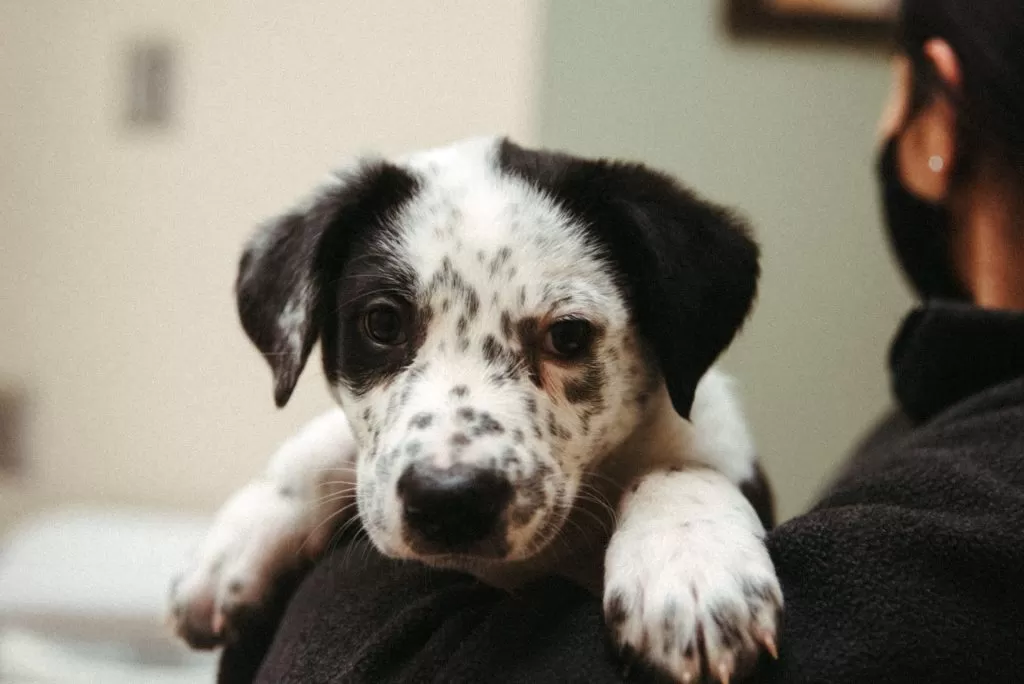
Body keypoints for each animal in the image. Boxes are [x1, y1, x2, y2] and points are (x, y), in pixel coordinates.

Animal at [169, 136, 774, 679]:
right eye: (382, 323)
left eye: (568, 337)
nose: (450, 502)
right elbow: (327, 449)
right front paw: (236, 547)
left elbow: (679, 468)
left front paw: (692, 570)